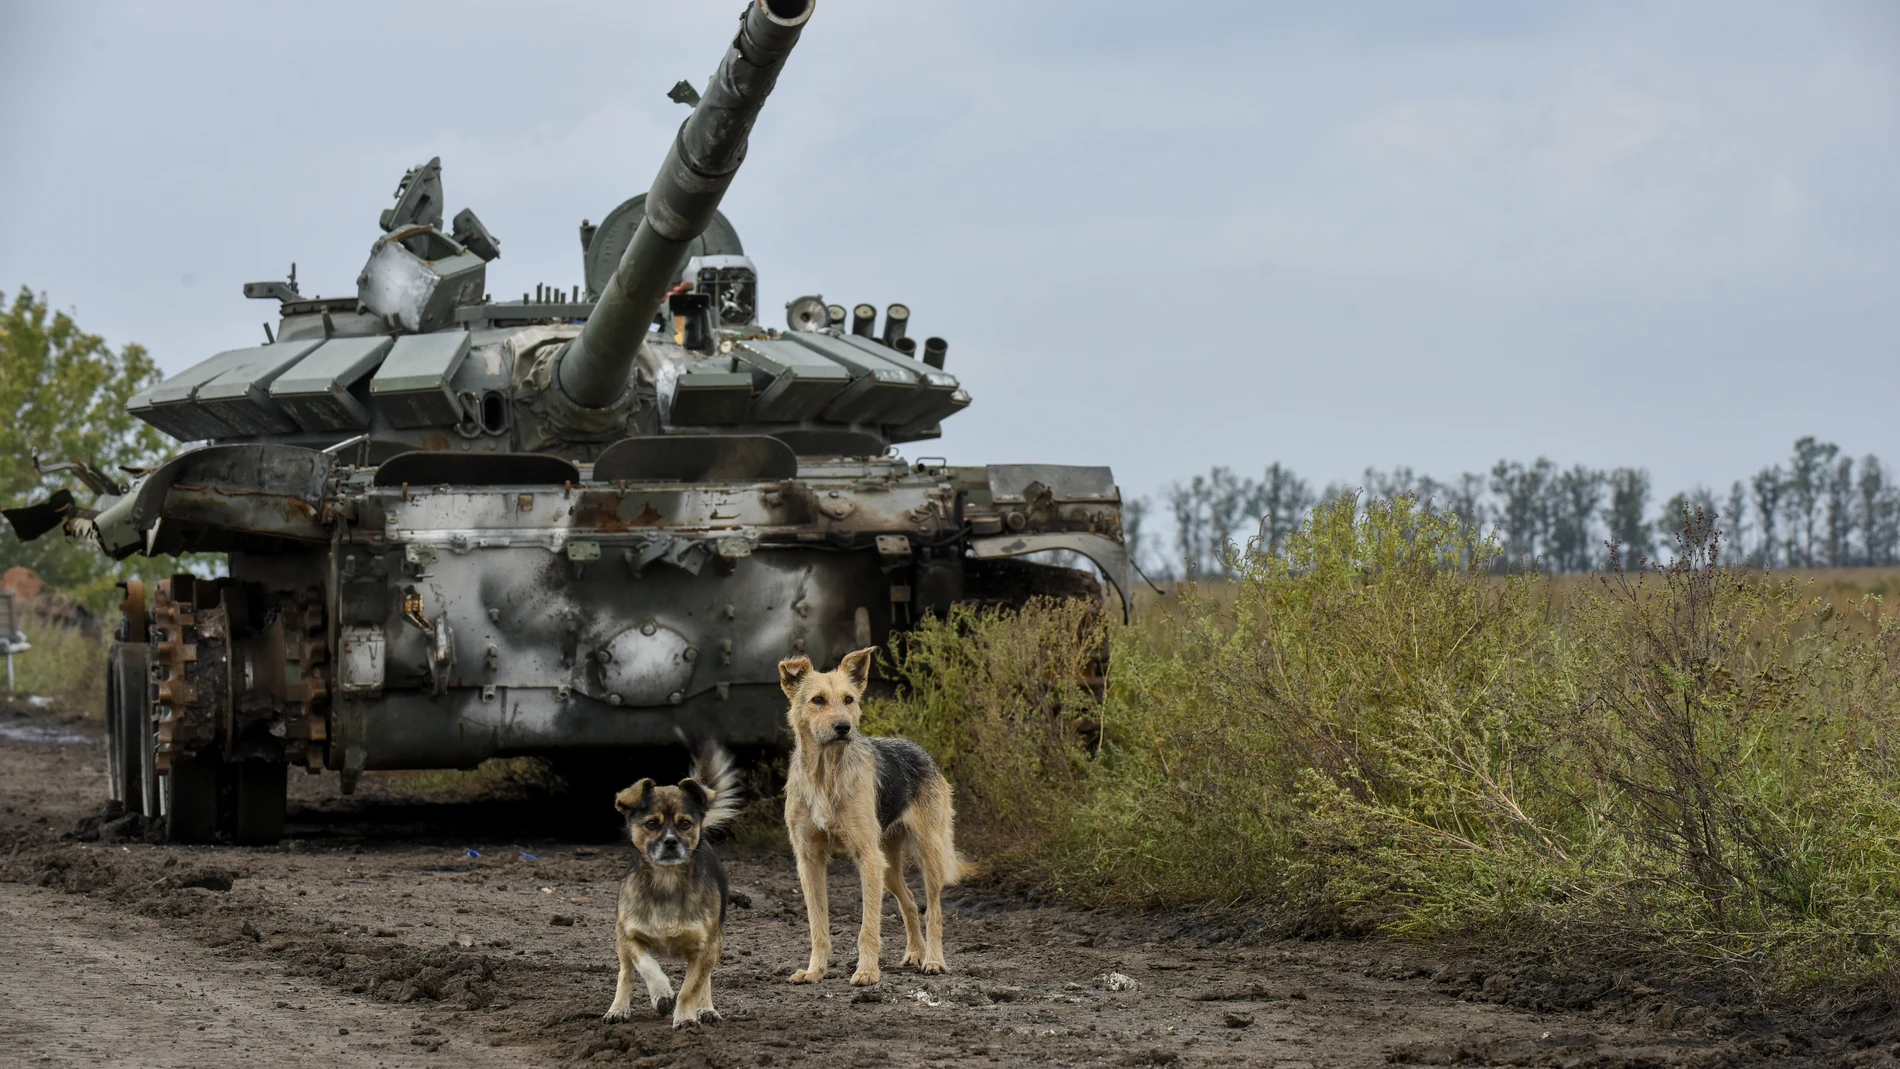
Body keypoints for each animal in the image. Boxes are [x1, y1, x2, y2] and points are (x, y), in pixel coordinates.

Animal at [604, 744, 737, 1025]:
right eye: (651, 824)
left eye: (685, 824)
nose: (670, 842)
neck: (667, 881)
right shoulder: (629, 935)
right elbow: (646, 965)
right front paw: (662, 993)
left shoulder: (705, 948)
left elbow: (691, 987)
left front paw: (685, 1018)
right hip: (621, 944)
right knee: (625, 973)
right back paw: (618, 1008)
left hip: (716, 944)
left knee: (705, 980)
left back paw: (706, 1008)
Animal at [775, 645, 957, 987]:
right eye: (817, 700)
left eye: (849, 699)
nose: (843, 728)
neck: (825, 774)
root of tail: (918, 748)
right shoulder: (809, 860)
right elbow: (818, 925)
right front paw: (815, 971)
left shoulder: (867, 858)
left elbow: (868, 927)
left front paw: (867, 972)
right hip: (889, 866)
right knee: (909, 901)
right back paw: (915, 953)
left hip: (927, 854)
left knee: (934, 911)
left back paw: (933, 960)